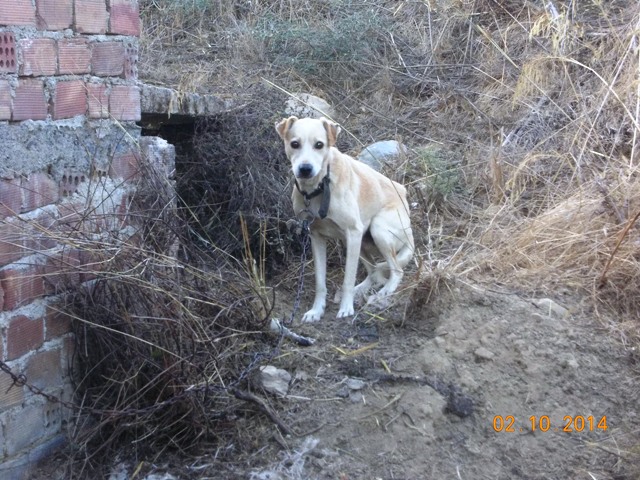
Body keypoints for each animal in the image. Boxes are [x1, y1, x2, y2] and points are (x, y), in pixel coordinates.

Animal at [276, 116, 416, 322]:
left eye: (319, 145)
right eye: (295, 144)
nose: (305, 169)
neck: (319, 188)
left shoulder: (353, 232)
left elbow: (348, 279)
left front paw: (346, 308)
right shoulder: (316, 237)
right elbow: (320, 282)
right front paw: (316, 311)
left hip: (377, 230)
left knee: (396, 271)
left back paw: (384, 292)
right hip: (355, 242)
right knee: (374, 271)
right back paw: (363, 289)